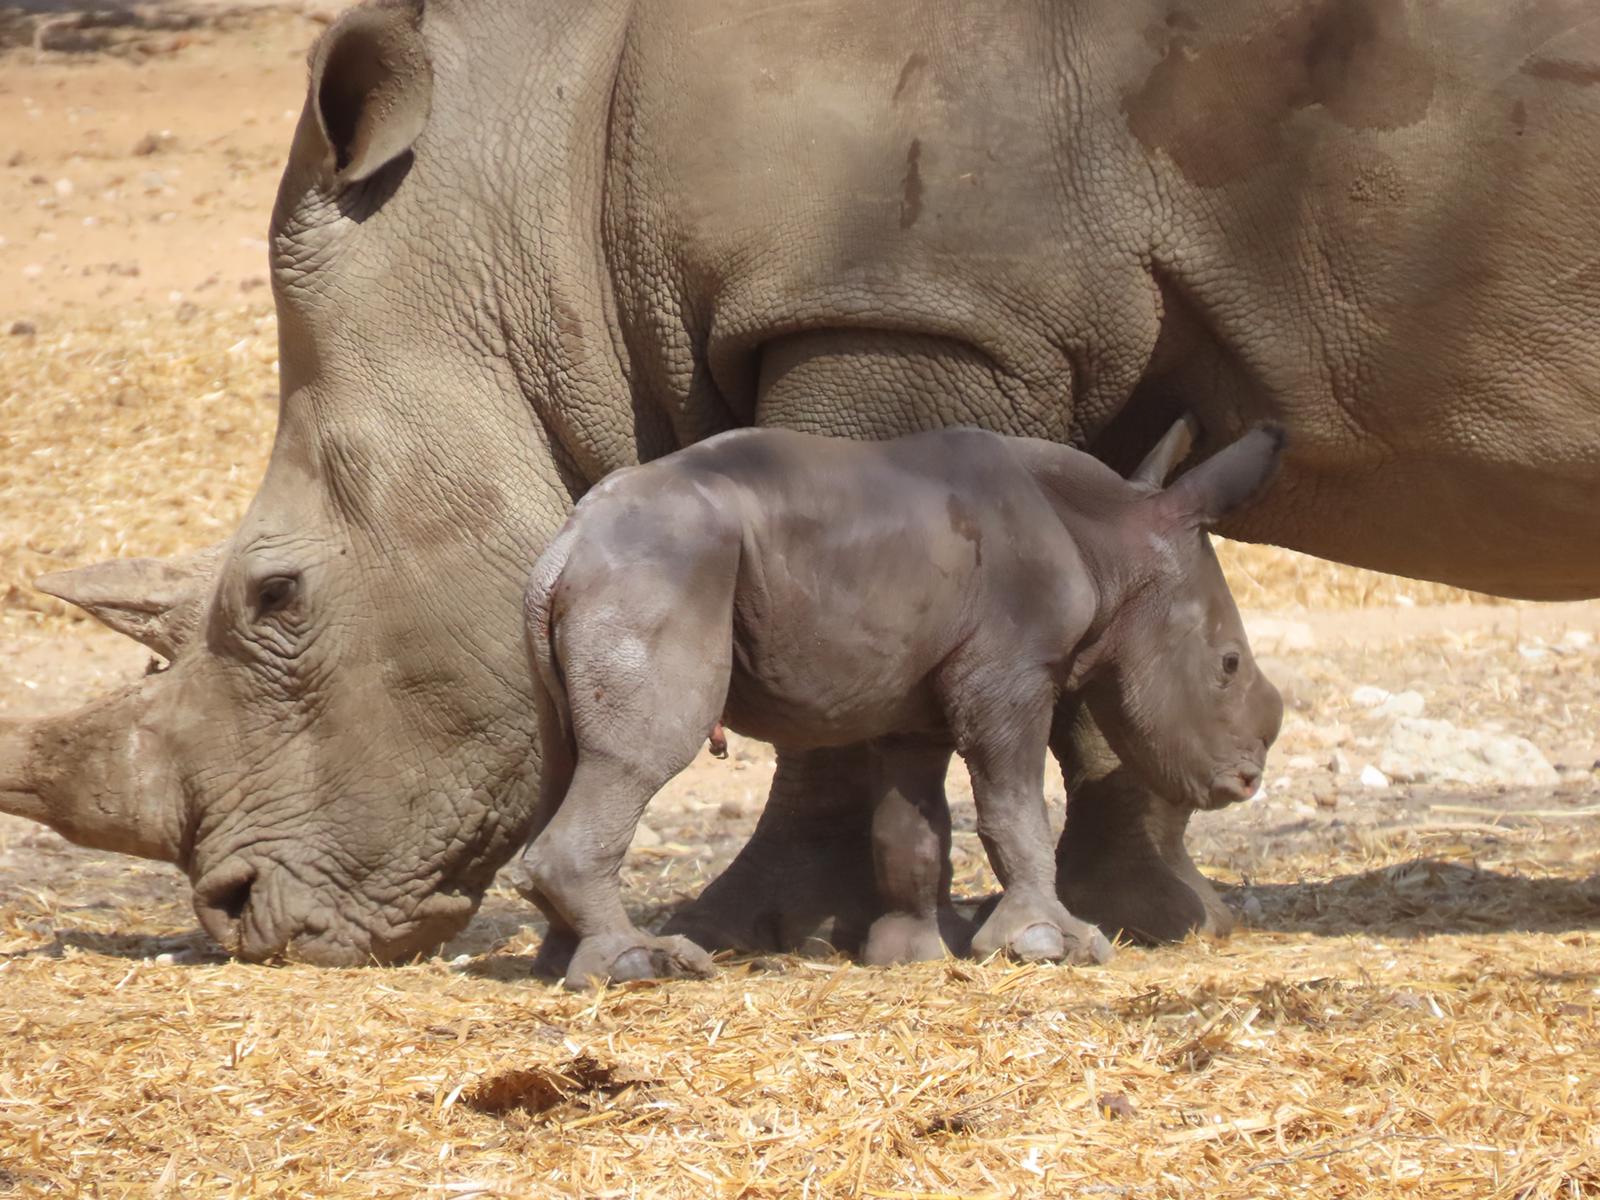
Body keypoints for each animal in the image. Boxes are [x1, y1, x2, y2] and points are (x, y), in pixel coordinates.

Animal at [512, 428, 1286, 992]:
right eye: (1227, 665)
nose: (1247, 781)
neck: (1114, 542)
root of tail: (567, 547)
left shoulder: (918, 702)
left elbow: (913, 826)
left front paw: (917, 949)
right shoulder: (1011, 672)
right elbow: (1014, 806)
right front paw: (1053, 944)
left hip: (612, 579)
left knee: (568, 758)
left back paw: (566, 963)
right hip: (660, 572)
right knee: (638, 757)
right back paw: (641, 964)